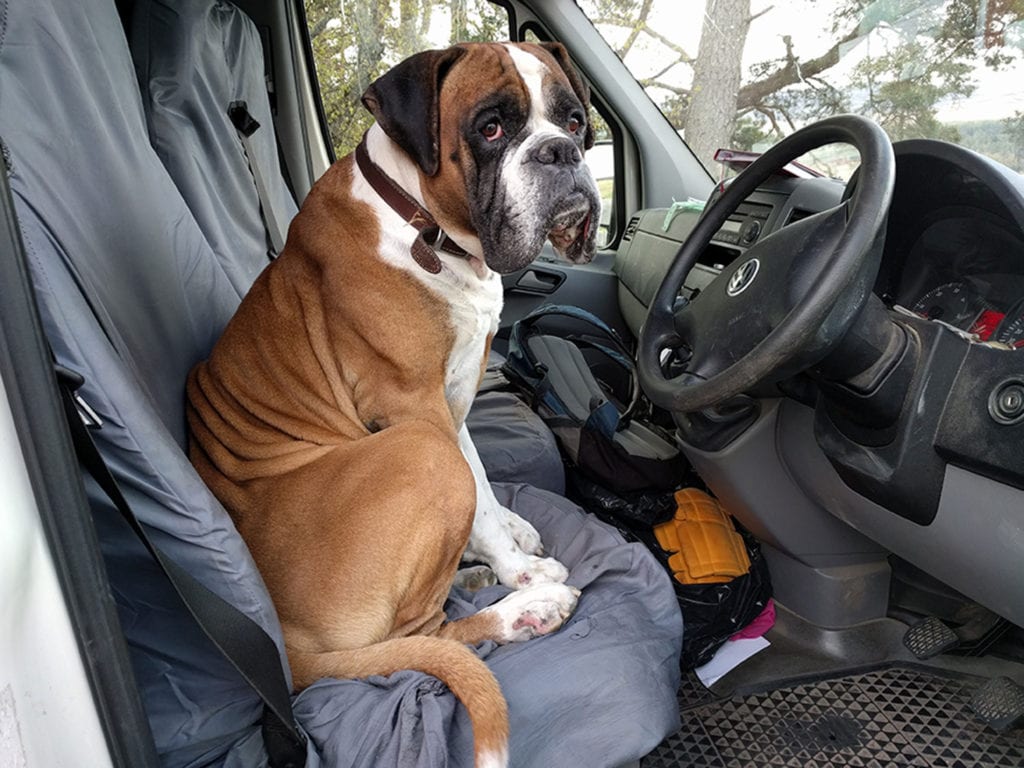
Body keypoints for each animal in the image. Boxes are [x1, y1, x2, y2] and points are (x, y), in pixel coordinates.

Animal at [186, 41, 598, 768]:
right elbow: (477, 505)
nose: (560, 152)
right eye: (492, 128)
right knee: (428, 636)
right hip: (419, 456)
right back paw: (524, 609)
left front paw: (506, 541)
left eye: (573, 121)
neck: (419, 222)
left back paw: (474, 576)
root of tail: (279, 640)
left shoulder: (455, 398)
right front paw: (518, 572)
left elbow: (482, 486)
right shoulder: (419, 412)